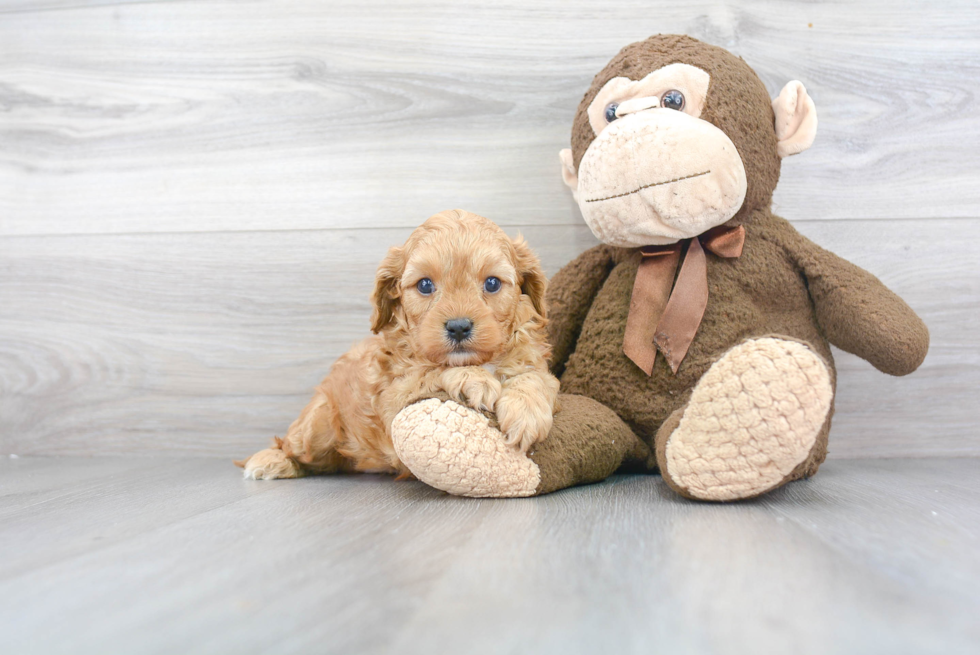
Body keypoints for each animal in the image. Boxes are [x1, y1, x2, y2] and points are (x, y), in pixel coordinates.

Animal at [237, 211, 560, 482]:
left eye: (492, 283)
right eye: (425, 285)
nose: (458, 327)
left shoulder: (534, 361)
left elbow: (535, 377)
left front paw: (526, 411)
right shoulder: (393, 399)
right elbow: (428, 372)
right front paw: (473, 378)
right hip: (318, 426)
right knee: (291, 445)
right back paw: (269, 461)